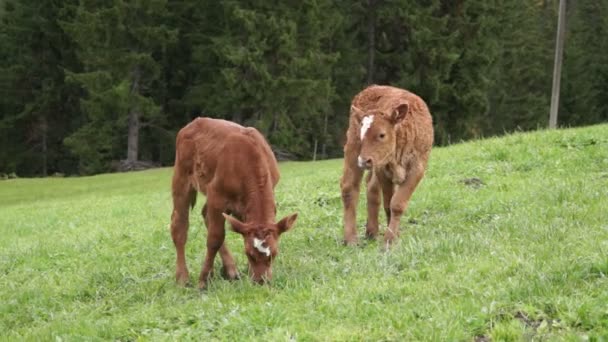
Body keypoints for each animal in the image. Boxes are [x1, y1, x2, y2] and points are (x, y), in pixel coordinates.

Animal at [170, 117, 298, 288]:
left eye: (274, 254)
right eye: (249, 254)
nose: (261, 281)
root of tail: (194, 122)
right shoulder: (216, 194)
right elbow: (215, 238)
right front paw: (203, 281)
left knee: (205, 215)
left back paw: (230, 270)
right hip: (182, 178)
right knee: (179, 225)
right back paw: (182, 278)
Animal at [342, 84, 432, 247]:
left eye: (382, 134)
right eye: (362, 135)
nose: (364, 161)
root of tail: (372, 87)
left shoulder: (418, 169)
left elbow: (397, 204)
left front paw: (392, 237)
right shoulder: (382, 170)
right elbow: (388, 204)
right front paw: (390, 239)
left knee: (371, 188)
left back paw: (371, 232)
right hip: (353, 148)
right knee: (349, 188)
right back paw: (351, 238)